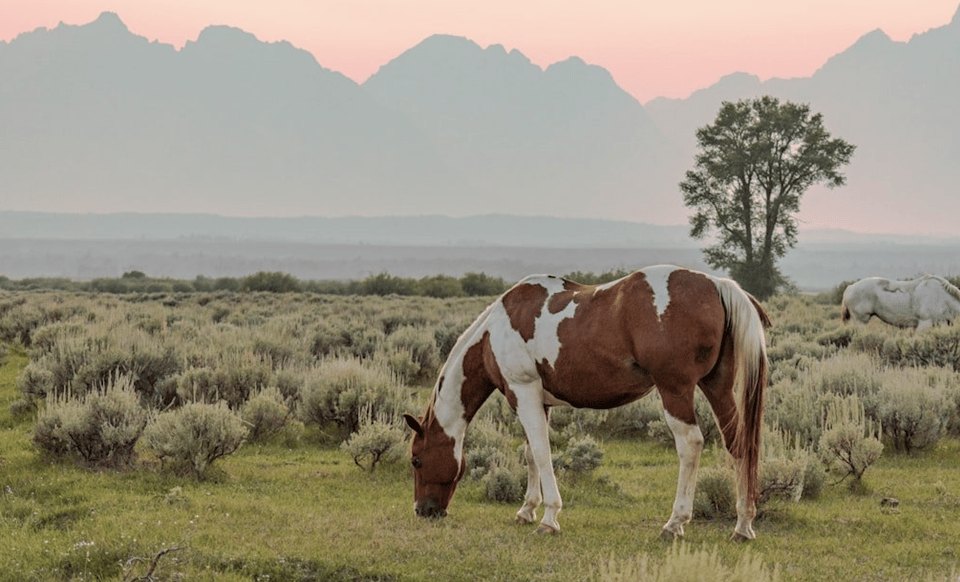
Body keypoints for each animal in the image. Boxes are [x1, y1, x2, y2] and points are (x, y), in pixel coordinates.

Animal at [402, 266, 768, 540]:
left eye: (416, 460)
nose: (423, 511)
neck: (496, 330)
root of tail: (716, 285)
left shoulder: (523, 393)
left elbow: (542, 453)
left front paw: (549, 518)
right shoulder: (539, 401)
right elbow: (531, 453)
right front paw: (527, 509)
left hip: (675, 389)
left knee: (690, 444)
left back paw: (675, 523)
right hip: (717, 387)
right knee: (738, 444)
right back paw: (743, 525)